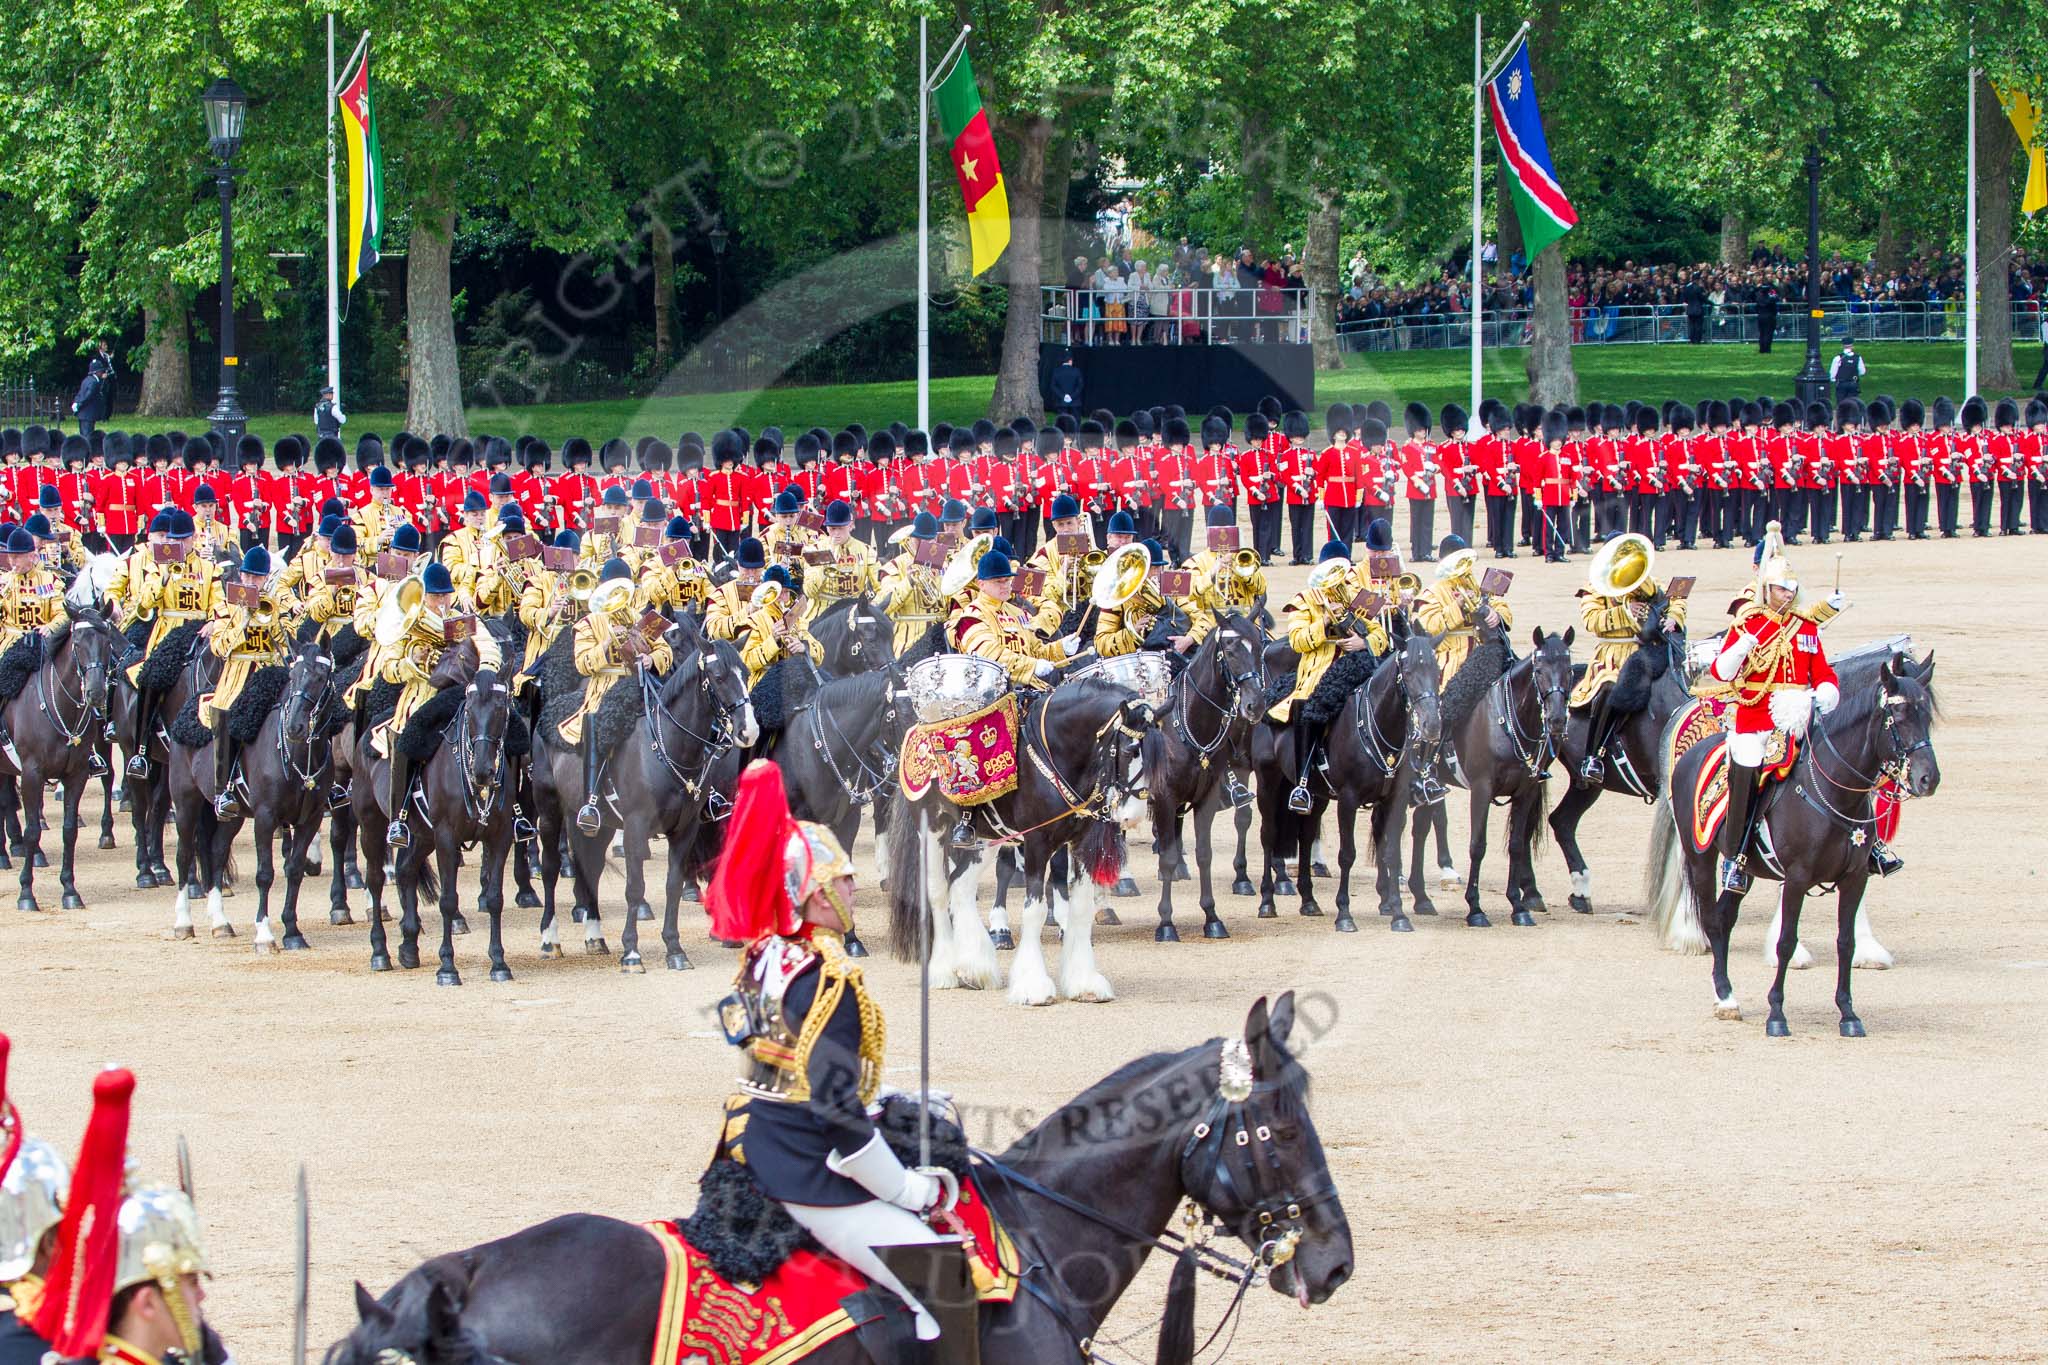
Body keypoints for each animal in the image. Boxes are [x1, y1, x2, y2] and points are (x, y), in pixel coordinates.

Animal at [1146, 618, 1269, 945]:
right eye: (1230, 650)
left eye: (1259, 646)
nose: (1255, 705)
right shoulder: (1165, 798)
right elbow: (1167, 857)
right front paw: (1166, 923)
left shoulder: (1207, 798)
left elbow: (1205, 854)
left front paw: (1212, 917)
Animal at [1638, 650, 1941, 1035]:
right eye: (1897, 717)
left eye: (1927, 716)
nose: (1928, 778)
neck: (1834, 791)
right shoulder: (1797, 877)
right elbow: (1786, 941)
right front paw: (1777, 1014)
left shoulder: (1855, 878)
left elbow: (1845, 942)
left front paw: (1848, 1013)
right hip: (1700, 857)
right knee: (1709, 916)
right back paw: (1724, 995)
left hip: (1745, 869)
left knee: (1724, 916)